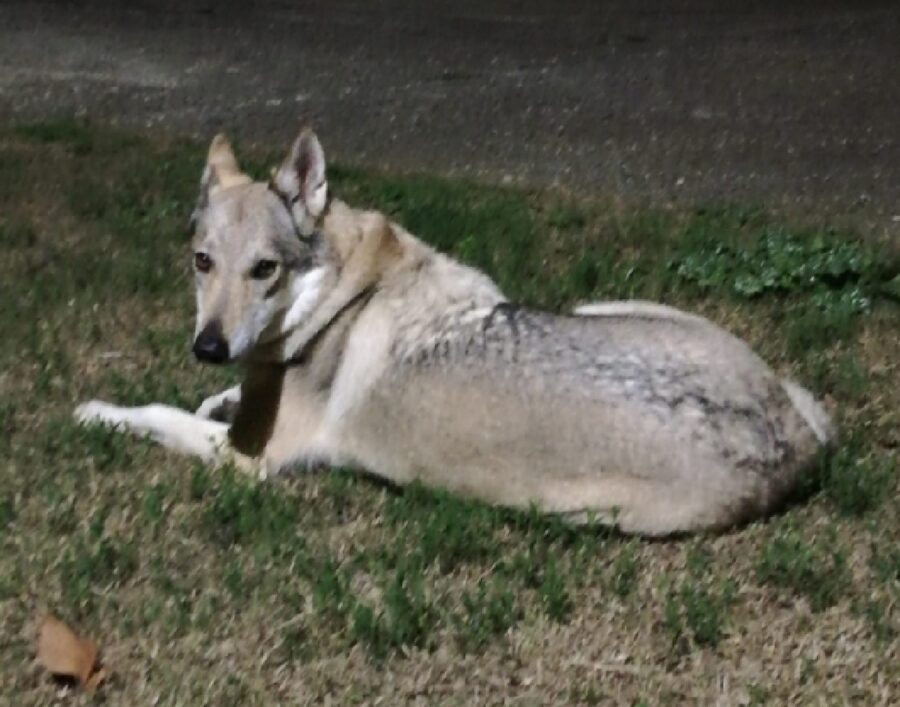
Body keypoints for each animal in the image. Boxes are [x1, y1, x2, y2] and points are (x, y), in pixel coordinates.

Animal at [74, 130, 832, 532]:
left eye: (264, 269)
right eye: (201, 263)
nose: (207, 348)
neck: (336, 295)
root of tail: (795, 434)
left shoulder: (248, 463)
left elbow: (157, 413)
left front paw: (99, 411)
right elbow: (214, 398)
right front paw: (218, 391)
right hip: (591, 305)